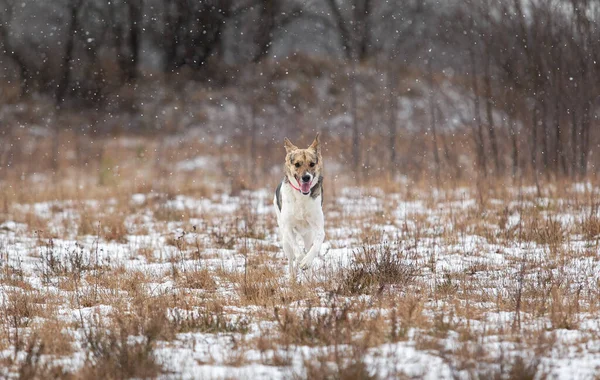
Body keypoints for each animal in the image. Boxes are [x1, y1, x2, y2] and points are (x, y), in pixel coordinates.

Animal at [274, 132, 326, 274]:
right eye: (297, 164)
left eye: (312, 164)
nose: (306, 177)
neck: (302, 196)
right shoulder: (288, 228)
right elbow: (296, 249)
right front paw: (301, 259)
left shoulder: (318, 228)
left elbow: (316, 245)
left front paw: (306, 262)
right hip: (285, 240)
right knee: (291, 260)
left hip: (308, 235)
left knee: (308, 246)